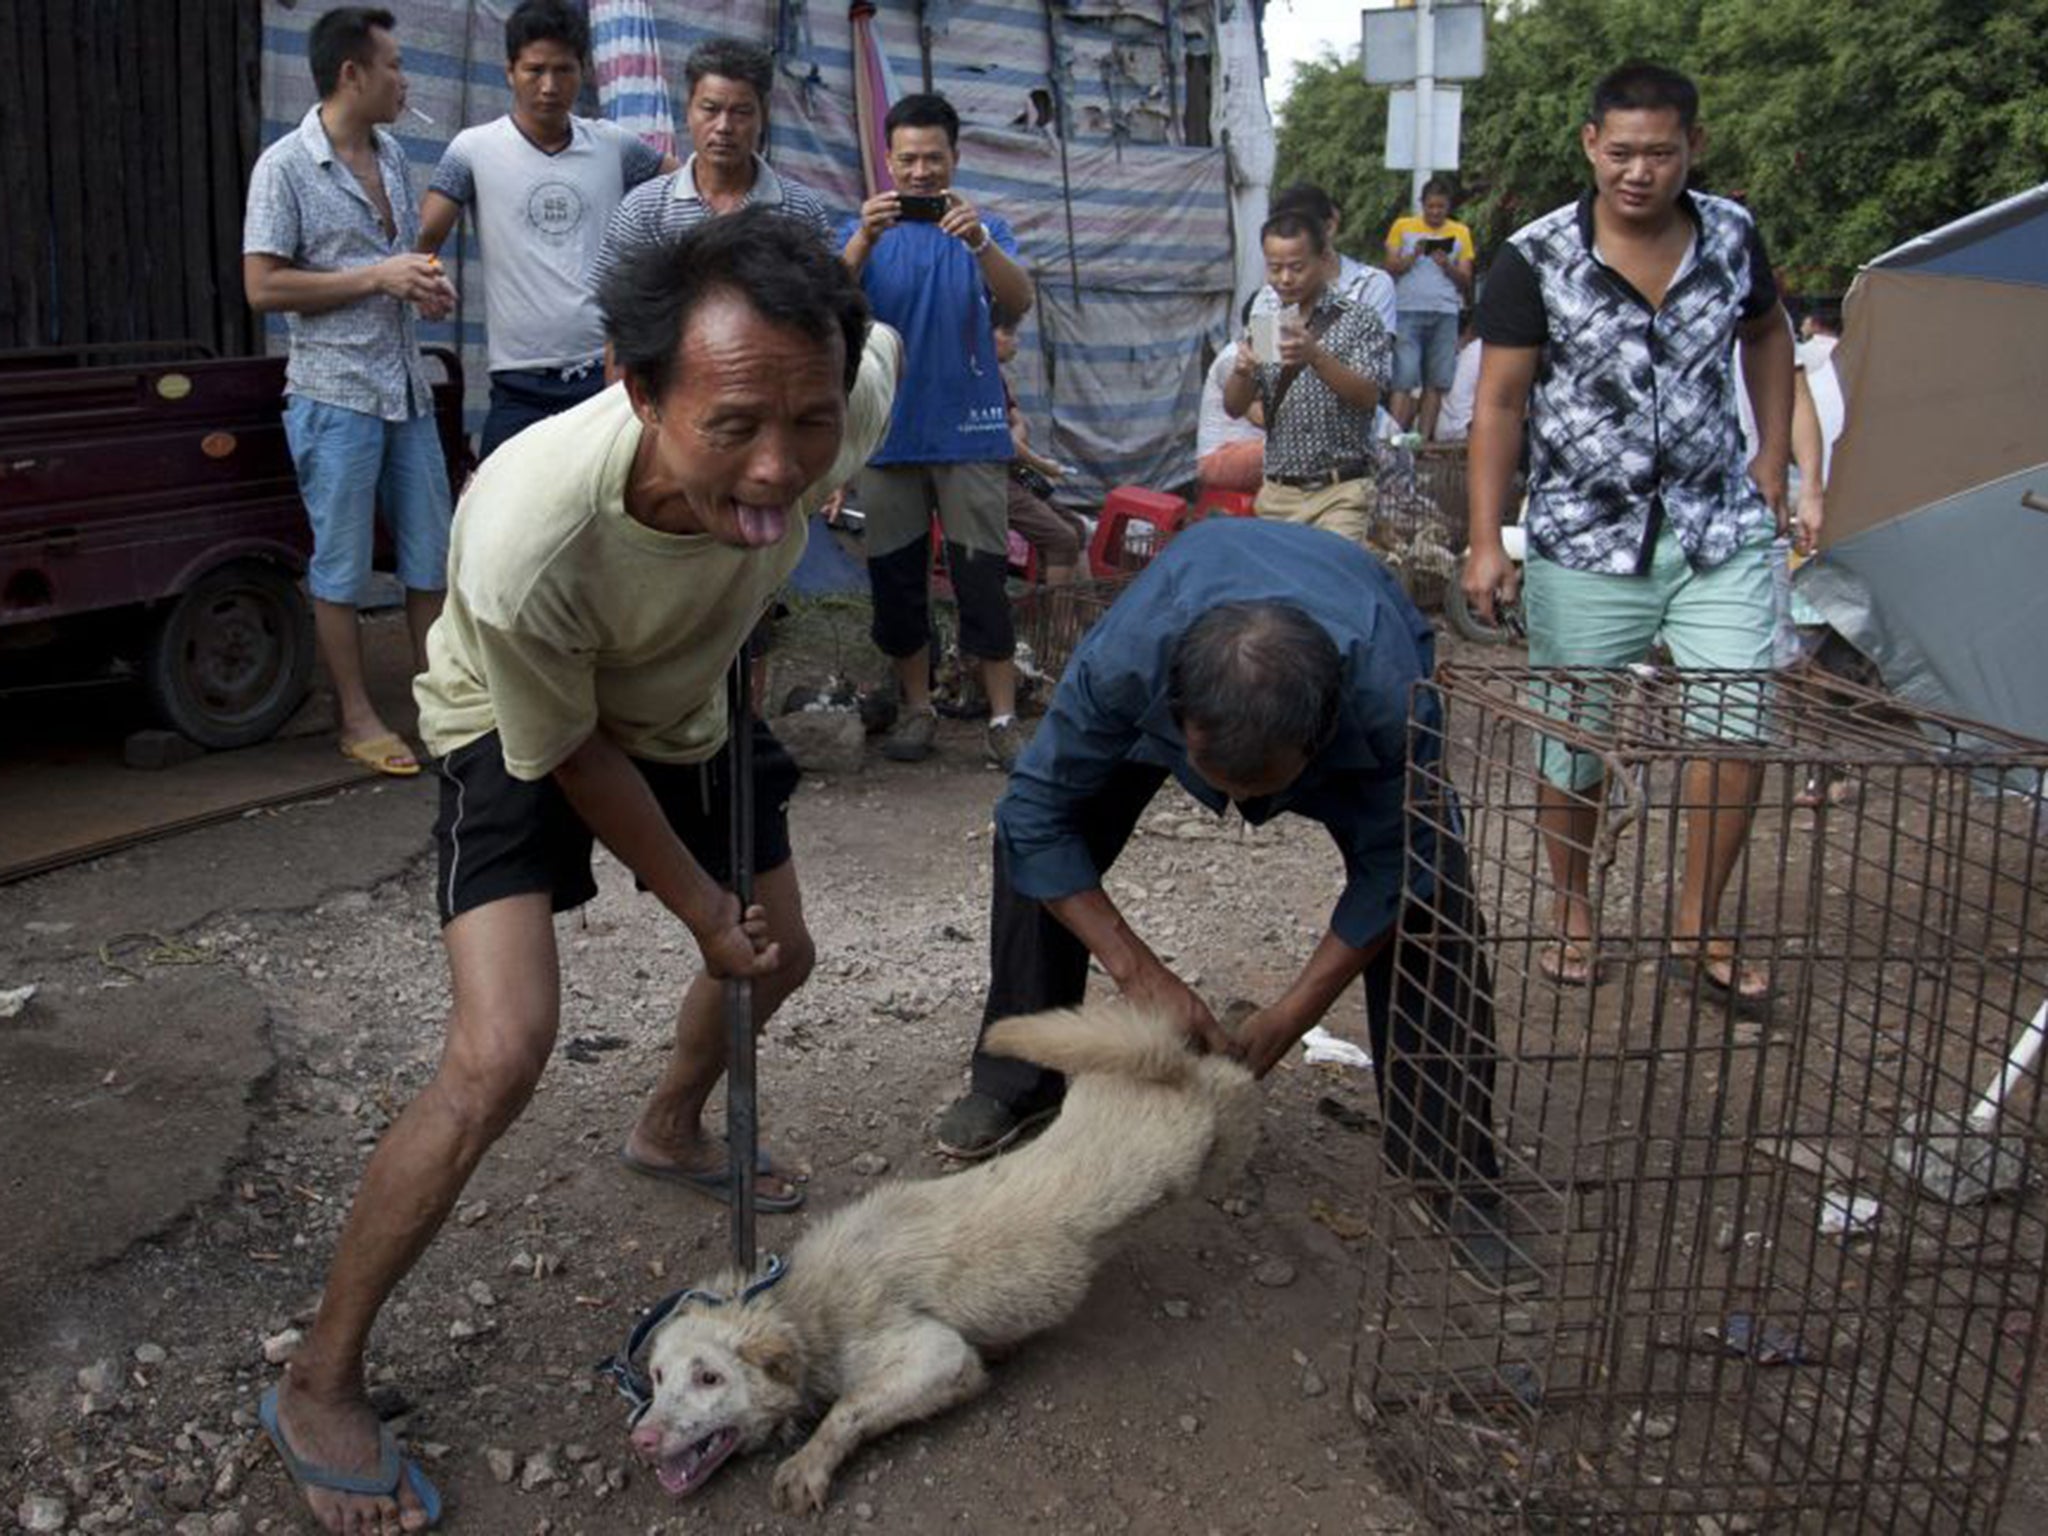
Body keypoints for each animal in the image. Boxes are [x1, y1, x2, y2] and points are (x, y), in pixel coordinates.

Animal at [610, 1003, 1245, 1523]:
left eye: (710, 1377)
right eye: (659, 1376)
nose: (642, 1441)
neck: (804, 1308)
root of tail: (1164, 1070)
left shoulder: (938, 1355)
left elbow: (849, 1409)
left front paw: (809, 1464)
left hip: (1185, 1150)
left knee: (1228, 1079)